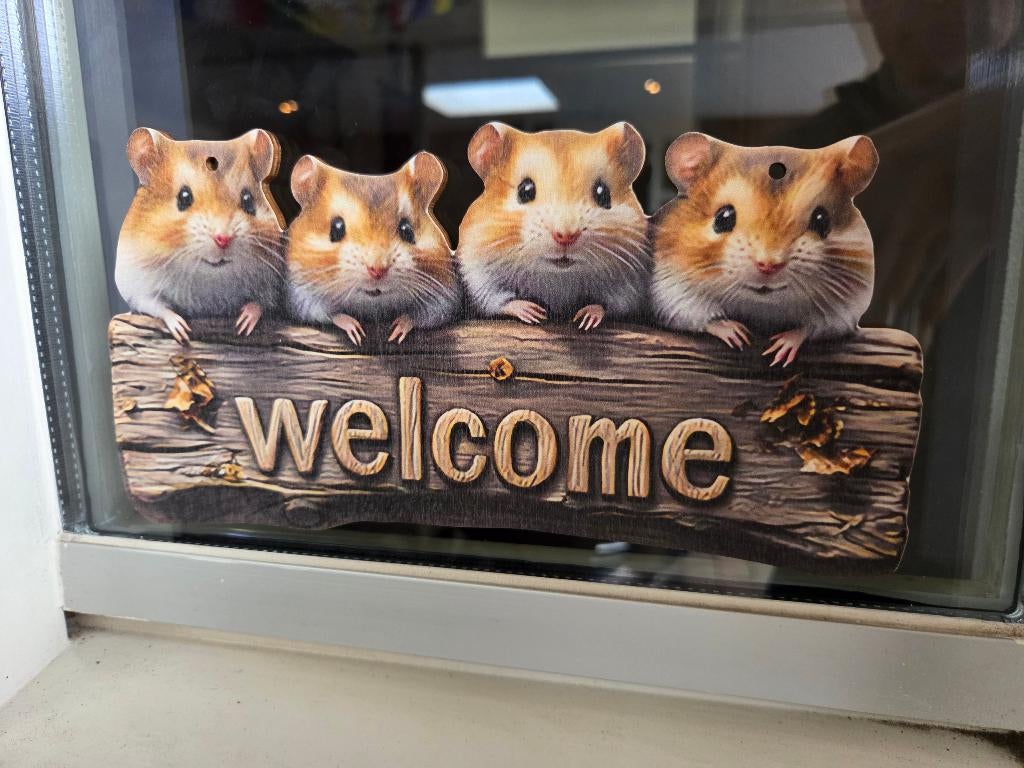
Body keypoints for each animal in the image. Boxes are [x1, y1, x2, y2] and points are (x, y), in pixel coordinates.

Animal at [116, 128, 286, 344]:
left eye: (248, 200)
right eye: (184, 197)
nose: (223, 239)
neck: (209, 277)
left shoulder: (272, 287)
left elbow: (261, 303)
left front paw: (244, 324)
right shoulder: (136, 285)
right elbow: (157, 307)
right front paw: (181, 331)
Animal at [286, 152, 460, 345]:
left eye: (407, 230)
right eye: (336, 228)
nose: (377, 270)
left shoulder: (443, 293)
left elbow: (422, 316)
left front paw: (397, 330)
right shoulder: (301, 294)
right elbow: (330, 314)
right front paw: (355, 330)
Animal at [457, 122, 649, 330]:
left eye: (602, 193)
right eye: (525, 190)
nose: (566, 236)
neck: (558, 276)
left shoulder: (629, 284)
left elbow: (607, 305)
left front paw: (585, 319)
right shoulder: (477, 273)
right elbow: (499, 300)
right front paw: (535, 313)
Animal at [650, 132, 878, 366]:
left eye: (821, 220)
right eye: (723, 217)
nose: (768, 265)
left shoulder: (844, 308)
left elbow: (810, 328)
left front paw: (780, 351)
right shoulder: (672, 291)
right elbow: (701, 317)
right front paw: (737, 335)